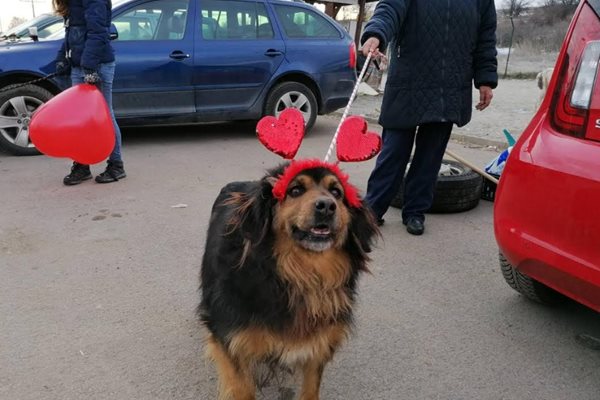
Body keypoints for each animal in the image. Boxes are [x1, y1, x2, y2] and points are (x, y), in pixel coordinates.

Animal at [200, 161, 380, 400]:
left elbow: (311, 388)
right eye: (295, 190)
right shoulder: (233, 340)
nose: (327, 206)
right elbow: (242, 387)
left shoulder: (318, 343)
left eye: (336, 192)